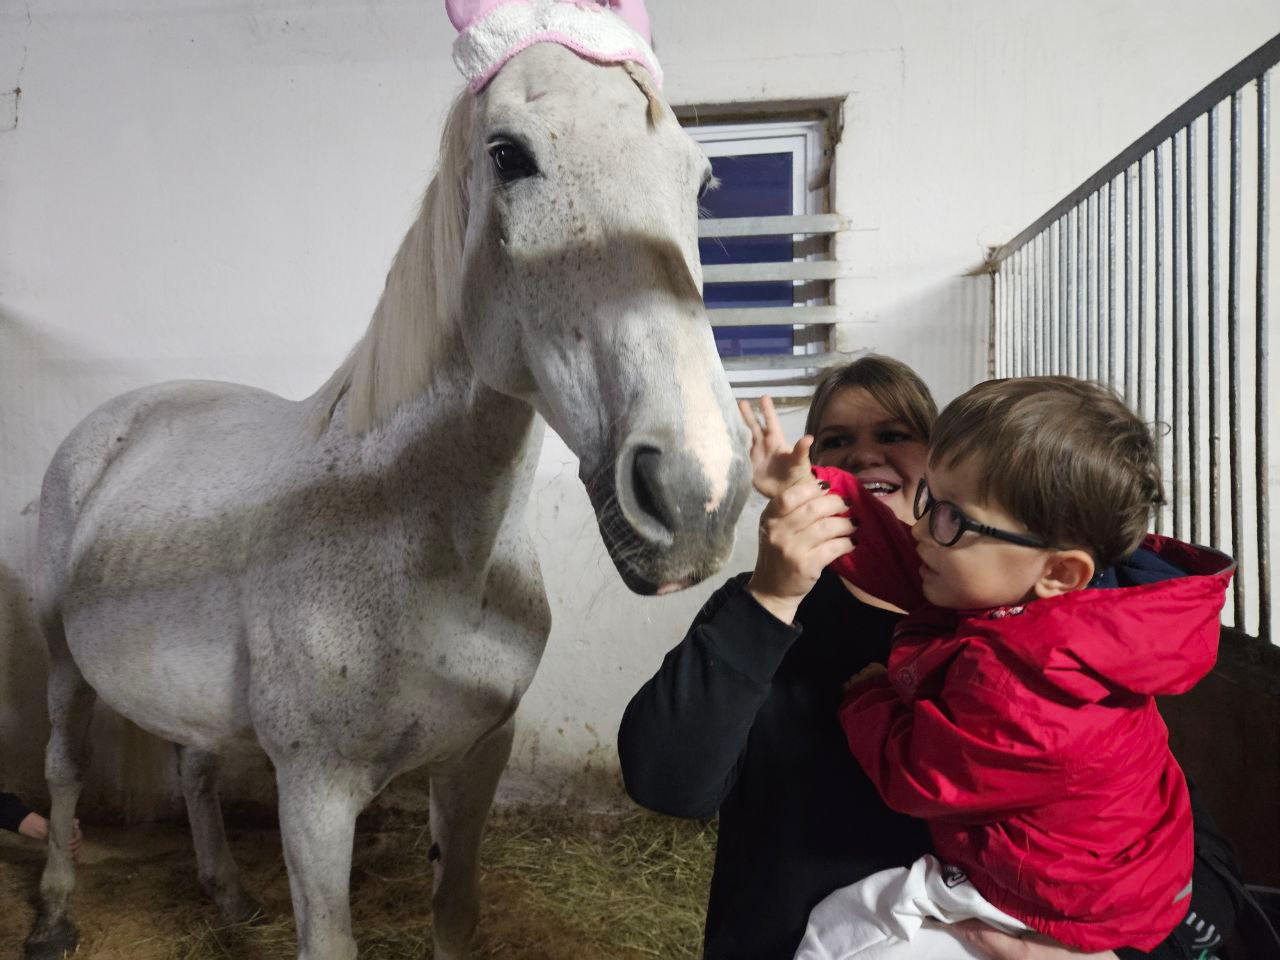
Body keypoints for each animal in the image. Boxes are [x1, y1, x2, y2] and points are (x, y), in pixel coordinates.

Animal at [24, 39, 751, 960]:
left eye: (701, 181)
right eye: (507, 155)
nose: (697, 490)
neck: (427, 546)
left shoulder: (478, 757)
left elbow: (456, 913)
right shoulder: (315, 794)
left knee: (194, 764)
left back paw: (229, 897)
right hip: (63, 660)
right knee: (65, 767)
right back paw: (54, 915)